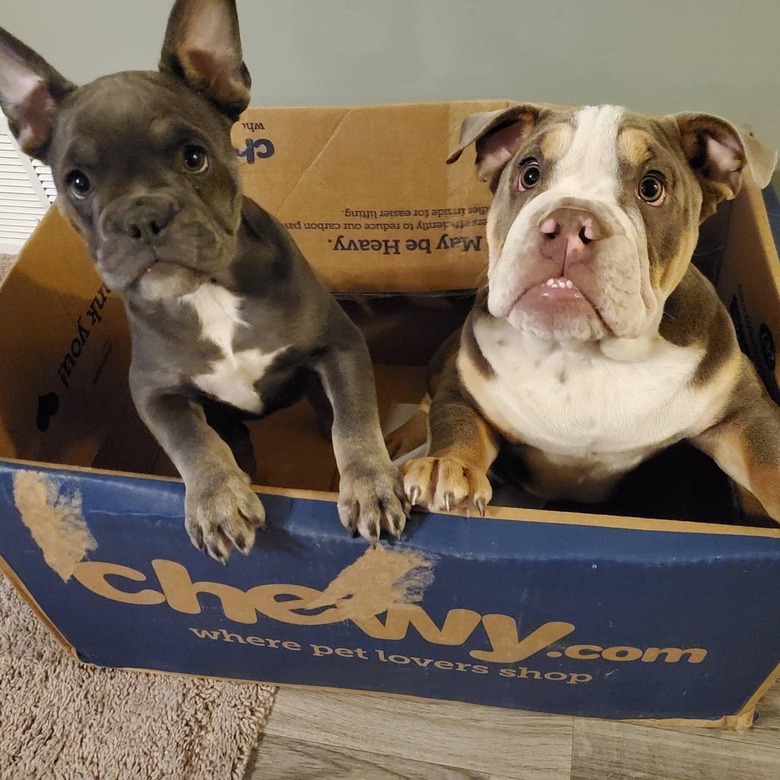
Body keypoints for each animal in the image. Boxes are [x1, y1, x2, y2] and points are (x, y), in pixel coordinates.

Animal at [0, 0, 406, 560]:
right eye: (77, 183)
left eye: (194, 157)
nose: (142, 217)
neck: (208, 291)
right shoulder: (153, 391)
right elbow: (189, 439)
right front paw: (215, 500)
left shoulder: (339, 343)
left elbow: (354, 419)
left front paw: (370, 483)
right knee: (228, 436)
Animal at [400, 102, 780, 516]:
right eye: (529, 174)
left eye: (652, 188)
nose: (569, 220)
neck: (581, 352)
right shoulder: (464, 386)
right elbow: (457, 422)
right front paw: (448, 465)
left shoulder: (744, 412)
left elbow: (768, 458)